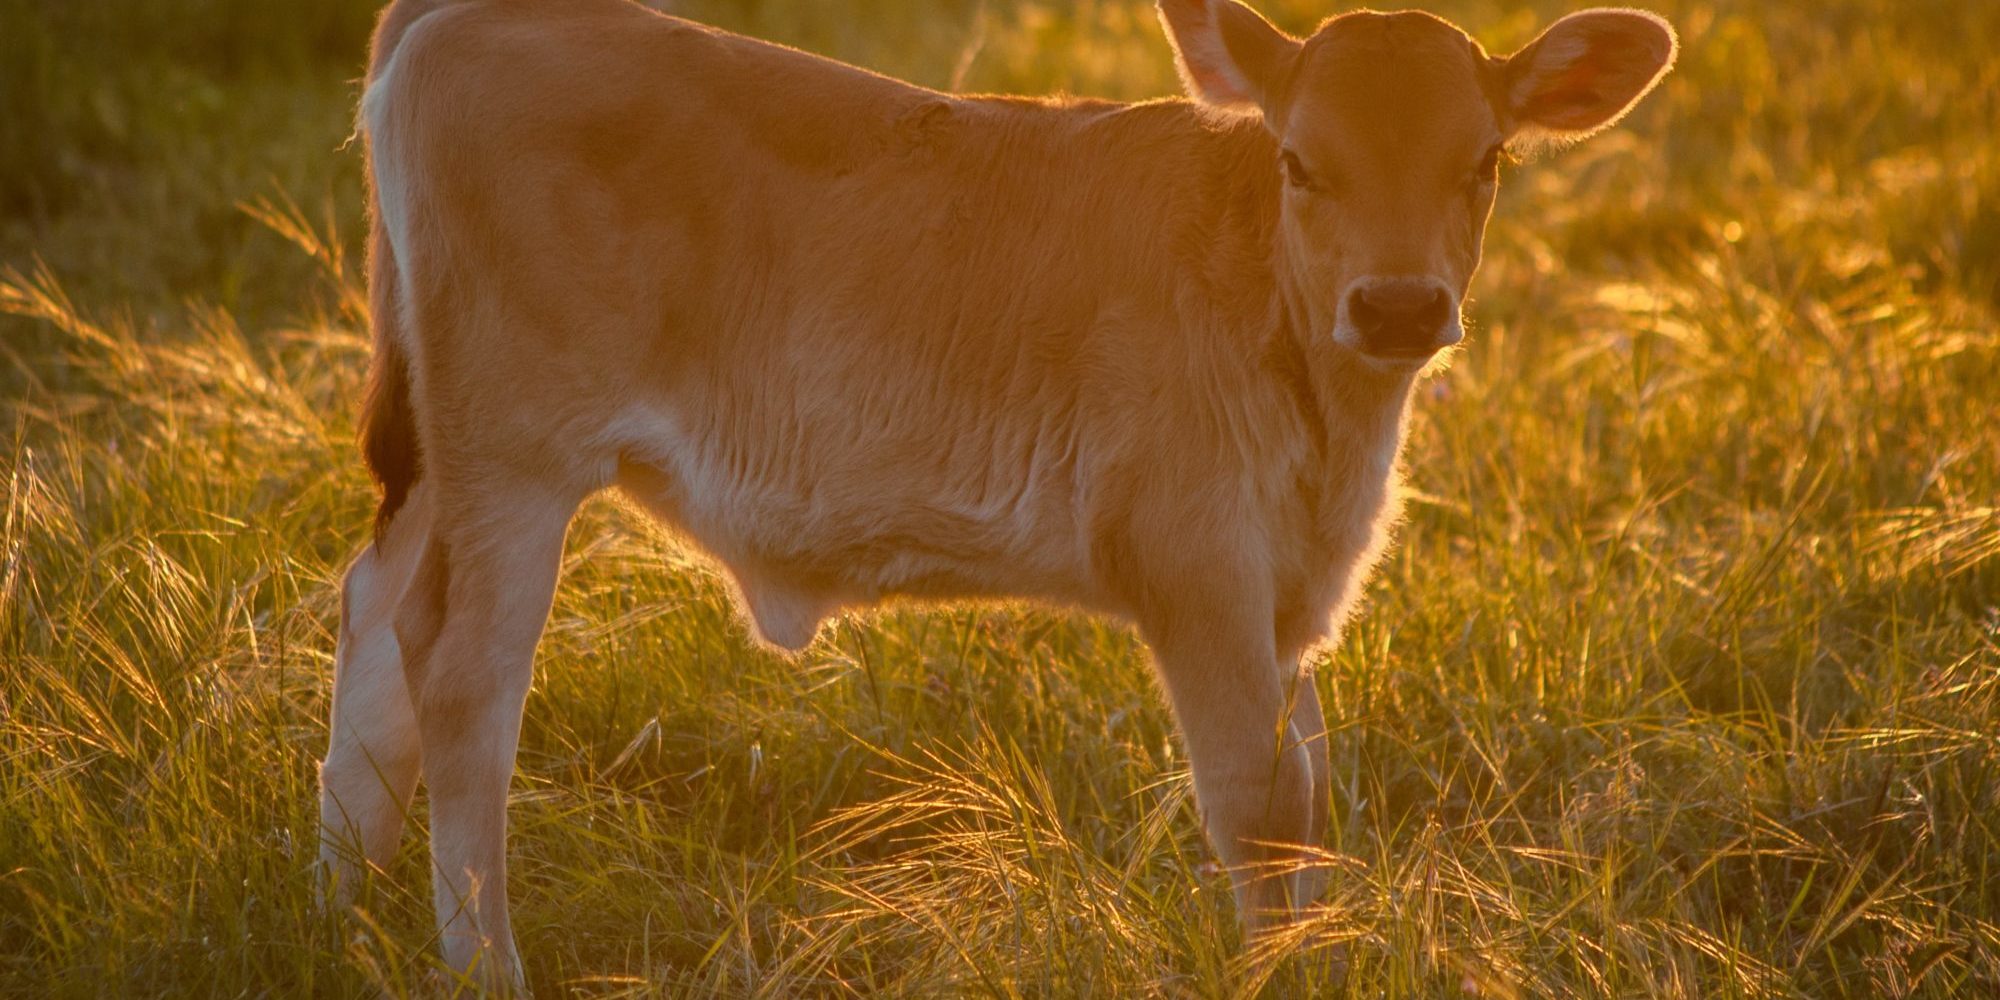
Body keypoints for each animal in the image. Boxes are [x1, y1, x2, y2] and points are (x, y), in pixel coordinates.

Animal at [317, 0, 1676, 988]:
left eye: (1485, 160)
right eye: (1299, 161)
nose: (1395, 305)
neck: (1325, 422)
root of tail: (473, 14)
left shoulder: (1289, 596)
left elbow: (1311, 795)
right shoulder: (1193, 566)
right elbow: (1258, 805)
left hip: (441, 463)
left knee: (375, 620)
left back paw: (337, 902)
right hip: (513, 459)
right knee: (462, 681)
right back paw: (481, 966)